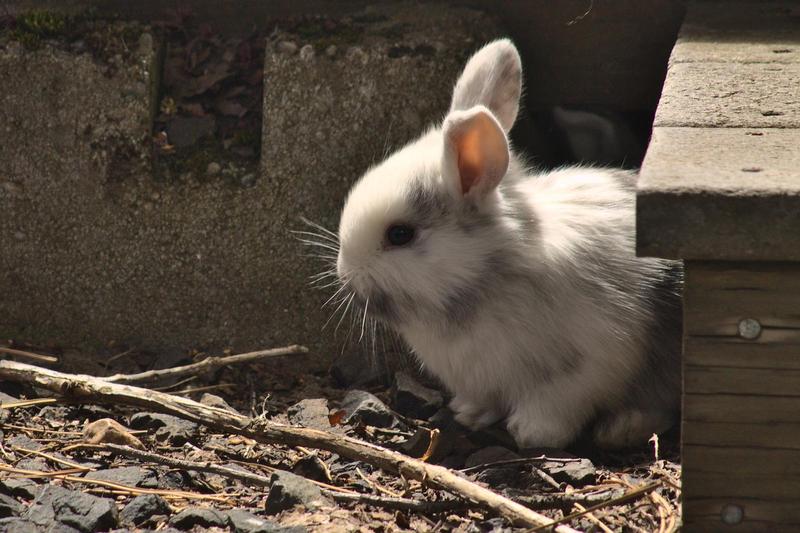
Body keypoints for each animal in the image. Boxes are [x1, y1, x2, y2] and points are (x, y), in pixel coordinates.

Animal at [334, 37, 680, 446]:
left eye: (399, 235)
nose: (345, 273)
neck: (484, 278)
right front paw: (468, 415)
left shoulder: (590, 362)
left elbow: (557, 403)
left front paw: (530, 433)